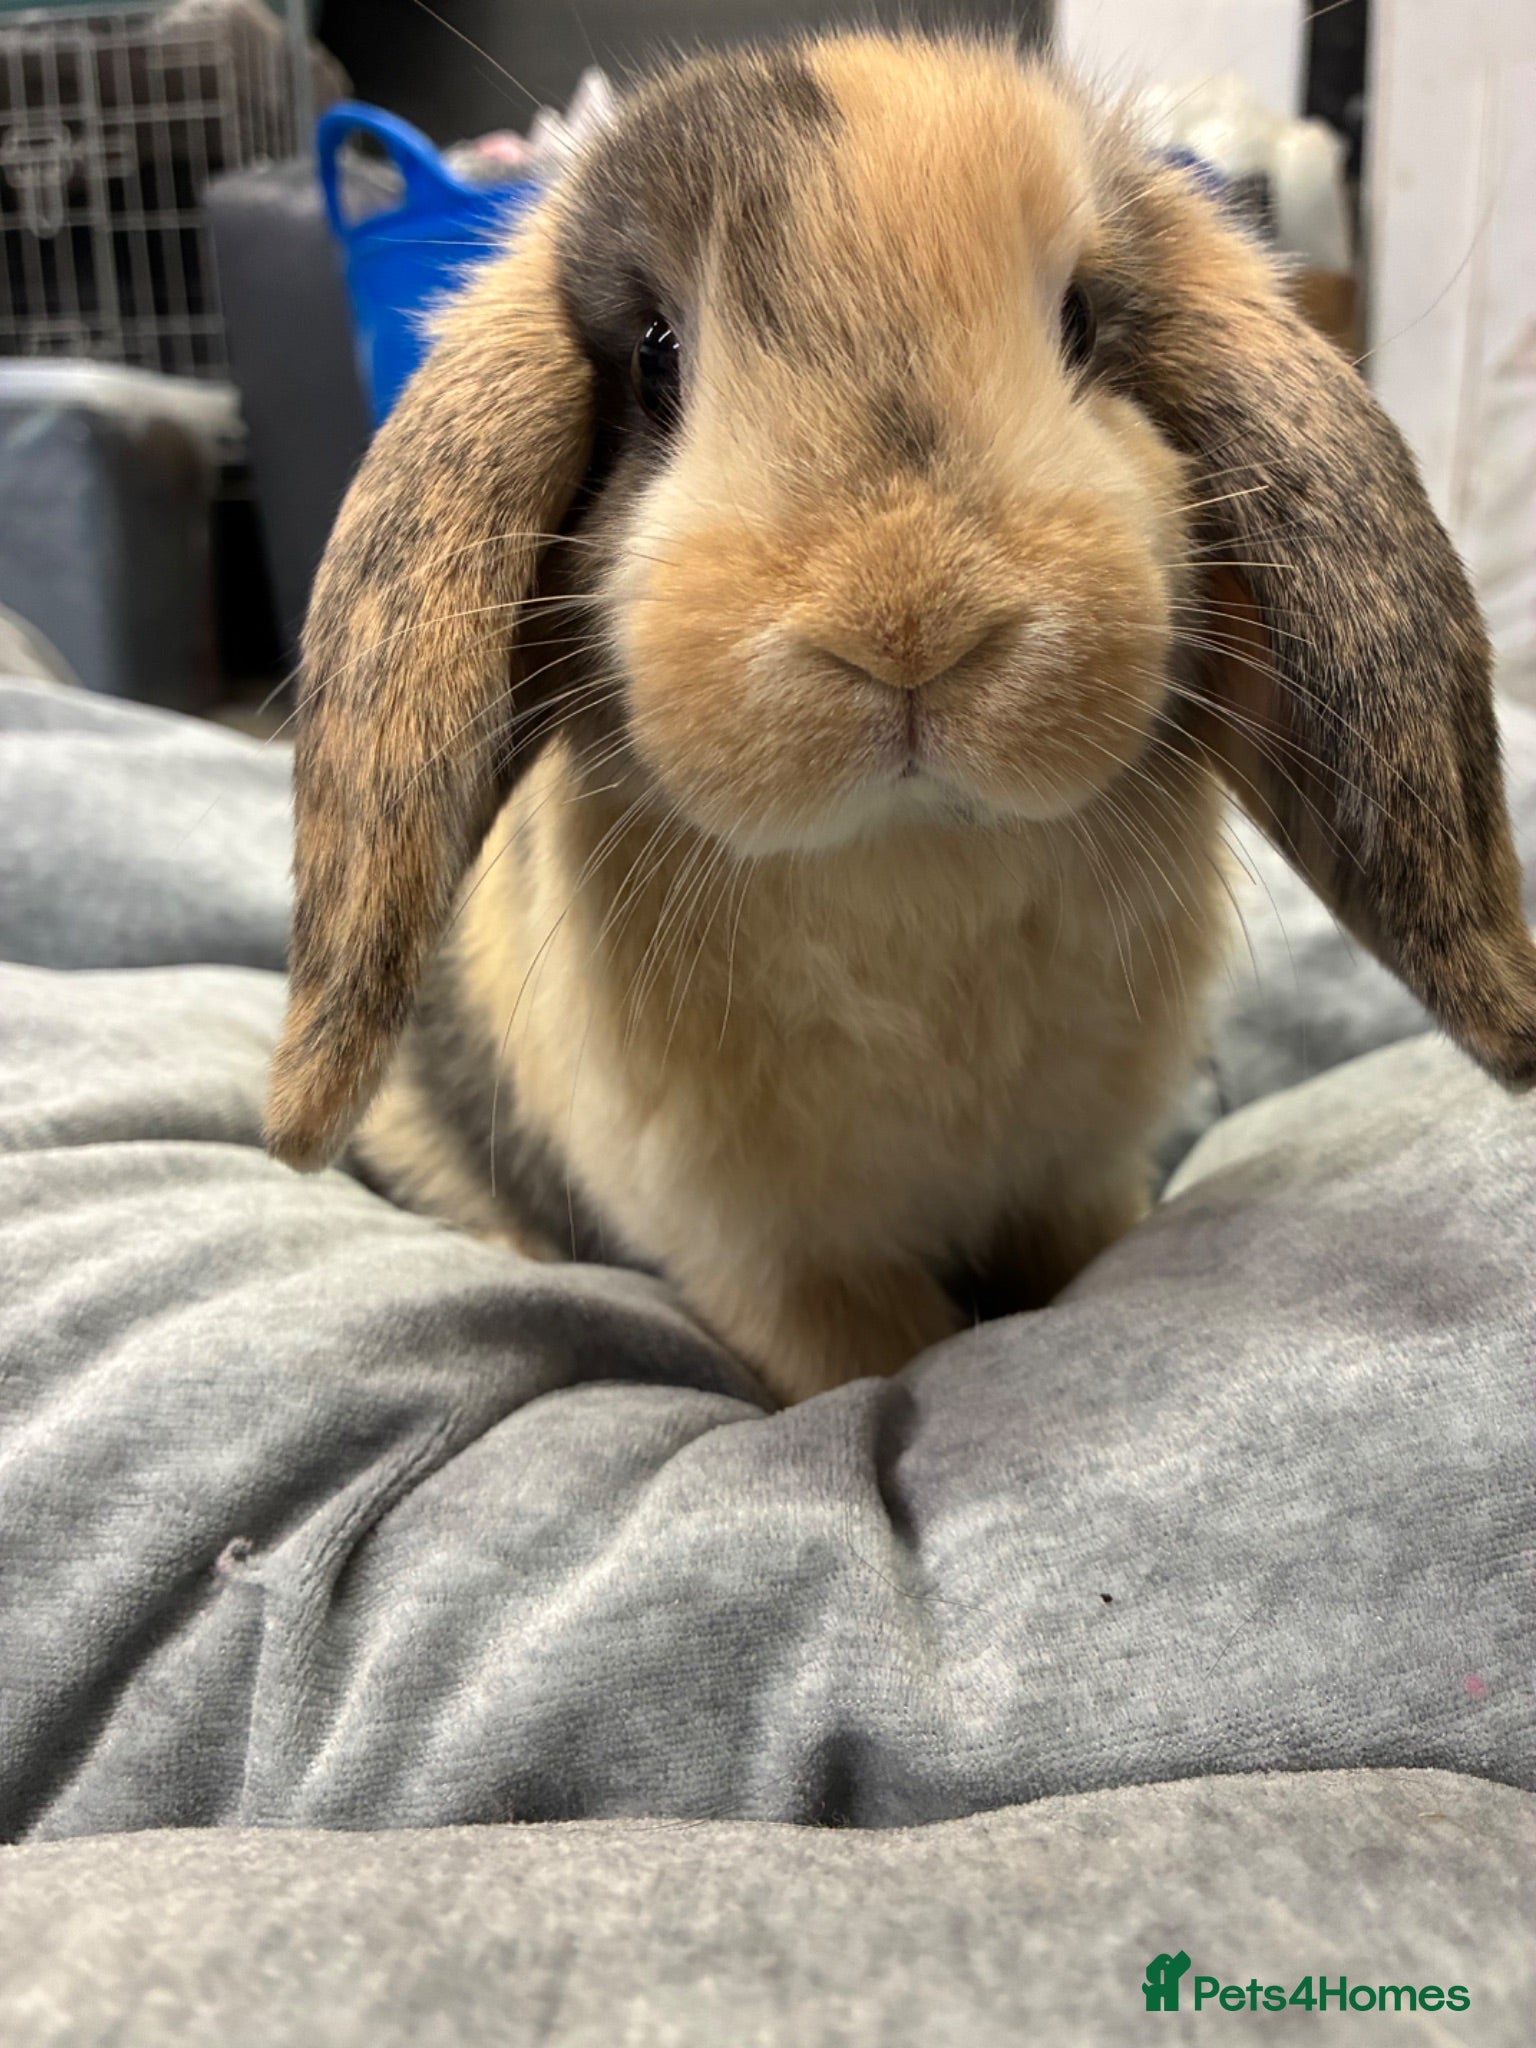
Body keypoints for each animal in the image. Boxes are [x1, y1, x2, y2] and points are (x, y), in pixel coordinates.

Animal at [265, 34, 1536, 1405]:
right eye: (657, 358)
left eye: (1082, 322)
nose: (910, 620)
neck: (913, 857)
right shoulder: (777, 1263)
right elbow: (872, 1355)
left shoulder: (1069, 1181)